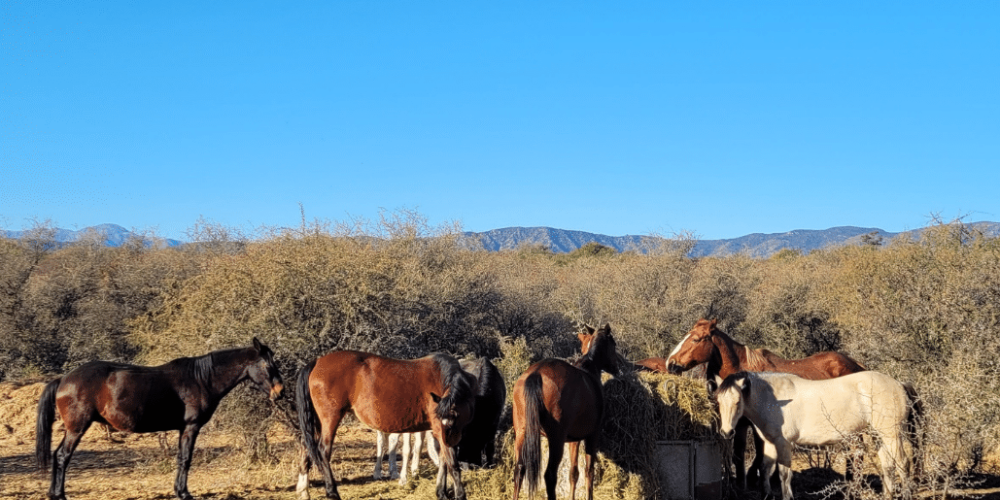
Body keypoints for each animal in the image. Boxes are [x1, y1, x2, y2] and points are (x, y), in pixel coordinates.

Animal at [512, 322, 620, 500]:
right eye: (614, 344)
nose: (616, 368)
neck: (589, 367)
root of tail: (536, 373)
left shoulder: (573, 440)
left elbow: (573, 473)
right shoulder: (592, 436)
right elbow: (589, 472)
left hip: (522, 433)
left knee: (519, 470)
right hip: (556, 439)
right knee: (549, 475)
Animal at [664, 320, 868, 488]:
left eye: (696, 339)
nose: (670, 363)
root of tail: (857, 365)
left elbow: (761, 454)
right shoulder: (740, 424)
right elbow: (739, 454)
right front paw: (742, 484)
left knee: (856, 451)